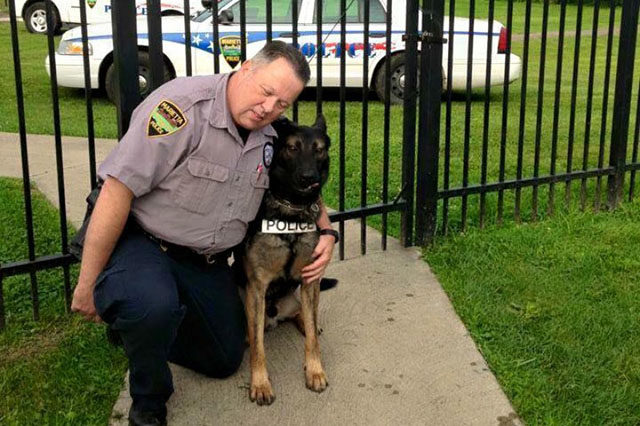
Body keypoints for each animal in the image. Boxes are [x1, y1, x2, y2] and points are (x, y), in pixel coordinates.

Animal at [240, 114, 330, 406]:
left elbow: (312, 337)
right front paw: (260, 384)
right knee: (253, 332)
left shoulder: (311, 280)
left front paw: (315, 370)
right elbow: (258, 347)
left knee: (304, 315)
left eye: (319, 149)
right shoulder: (257, 287)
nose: (309, 178)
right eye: (292, 147)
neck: (292, 210)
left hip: (298, 297)